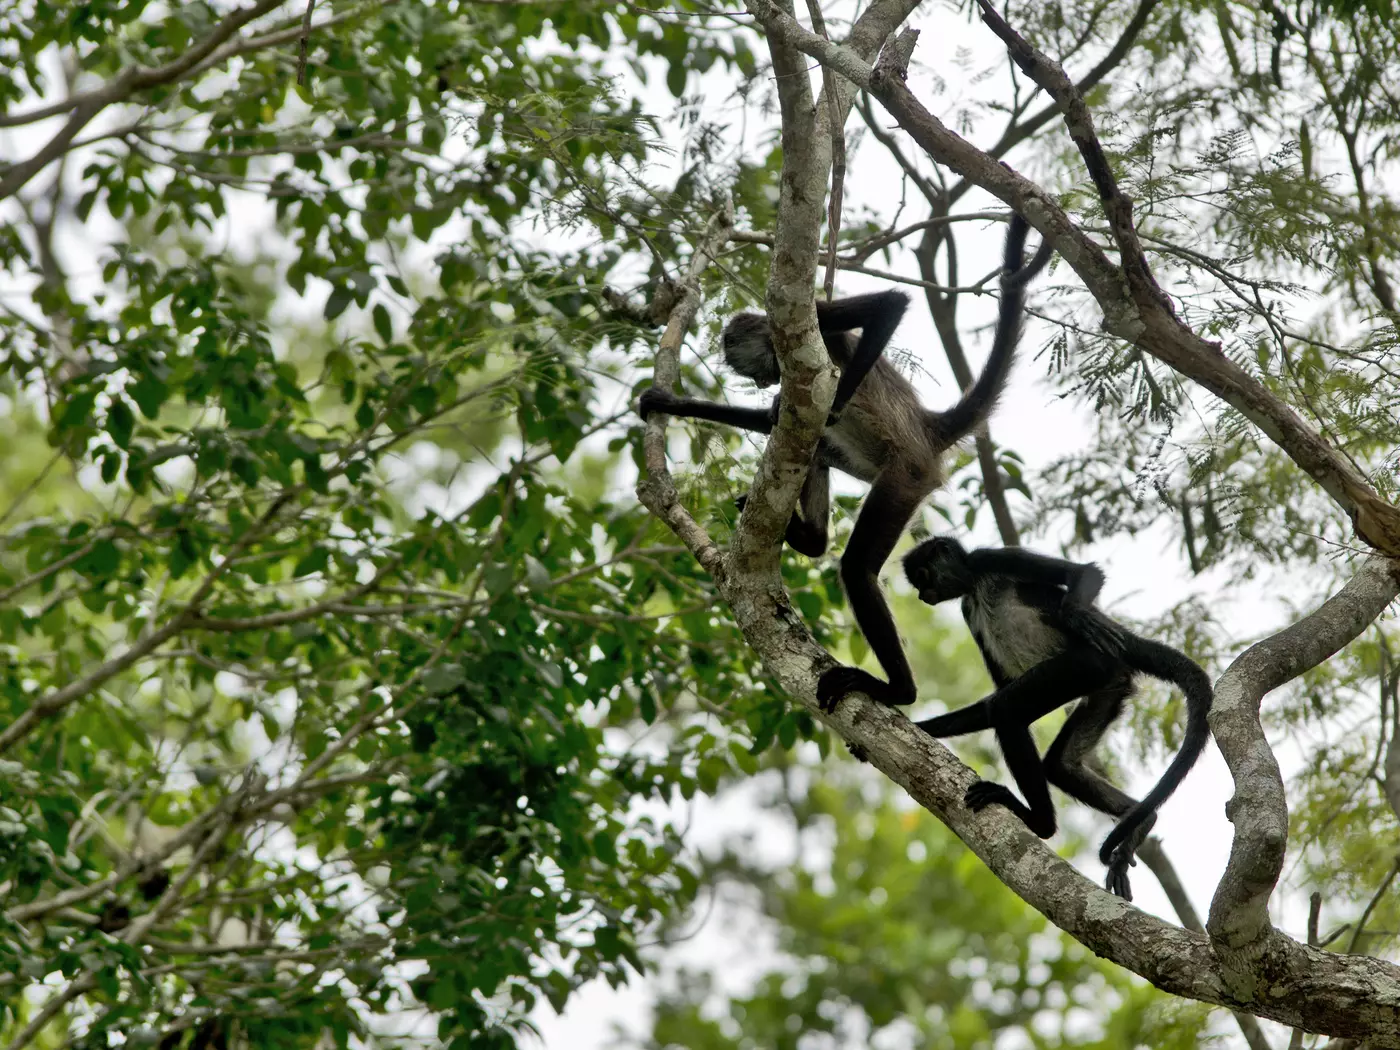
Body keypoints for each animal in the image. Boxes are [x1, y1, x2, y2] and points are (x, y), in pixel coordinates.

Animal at [639, 213, 1053, 711]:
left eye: (755, 369)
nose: (761, 383)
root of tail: (927, 429)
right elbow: (774, 421)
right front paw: (667, 402)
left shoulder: (817, 318)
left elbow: (890, 305)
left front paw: (836, 398)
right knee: (810, 446)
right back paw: (812, 539)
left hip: (903, 476)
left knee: (856, 566)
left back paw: (898, 690)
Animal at [898, 536, 1213, 899]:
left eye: (923, 577)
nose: (922, 596)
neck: (974, 586)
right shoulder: (967, 608)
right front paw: (916, 725)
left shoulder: (990, 558)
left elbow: (1085, 573)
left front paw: (1075, 613)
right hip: (1109, 689)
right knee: (1058, 765)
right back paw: (1141, 822)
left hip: (1085, 666)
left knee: (1006, 710)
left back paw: (1041, 824)